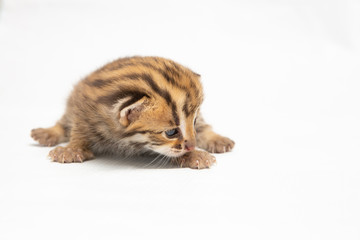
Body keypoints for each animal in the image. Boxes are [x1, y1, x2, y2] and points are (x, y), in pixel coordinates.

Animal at [31, 56, 235, 169]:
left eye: (192, 122)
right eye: (171, 132)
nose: (192, 146)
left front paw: (194, 156)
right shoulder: (84, 108)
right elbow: (78, 129)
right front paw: (72, 149)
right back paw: (47, 133)